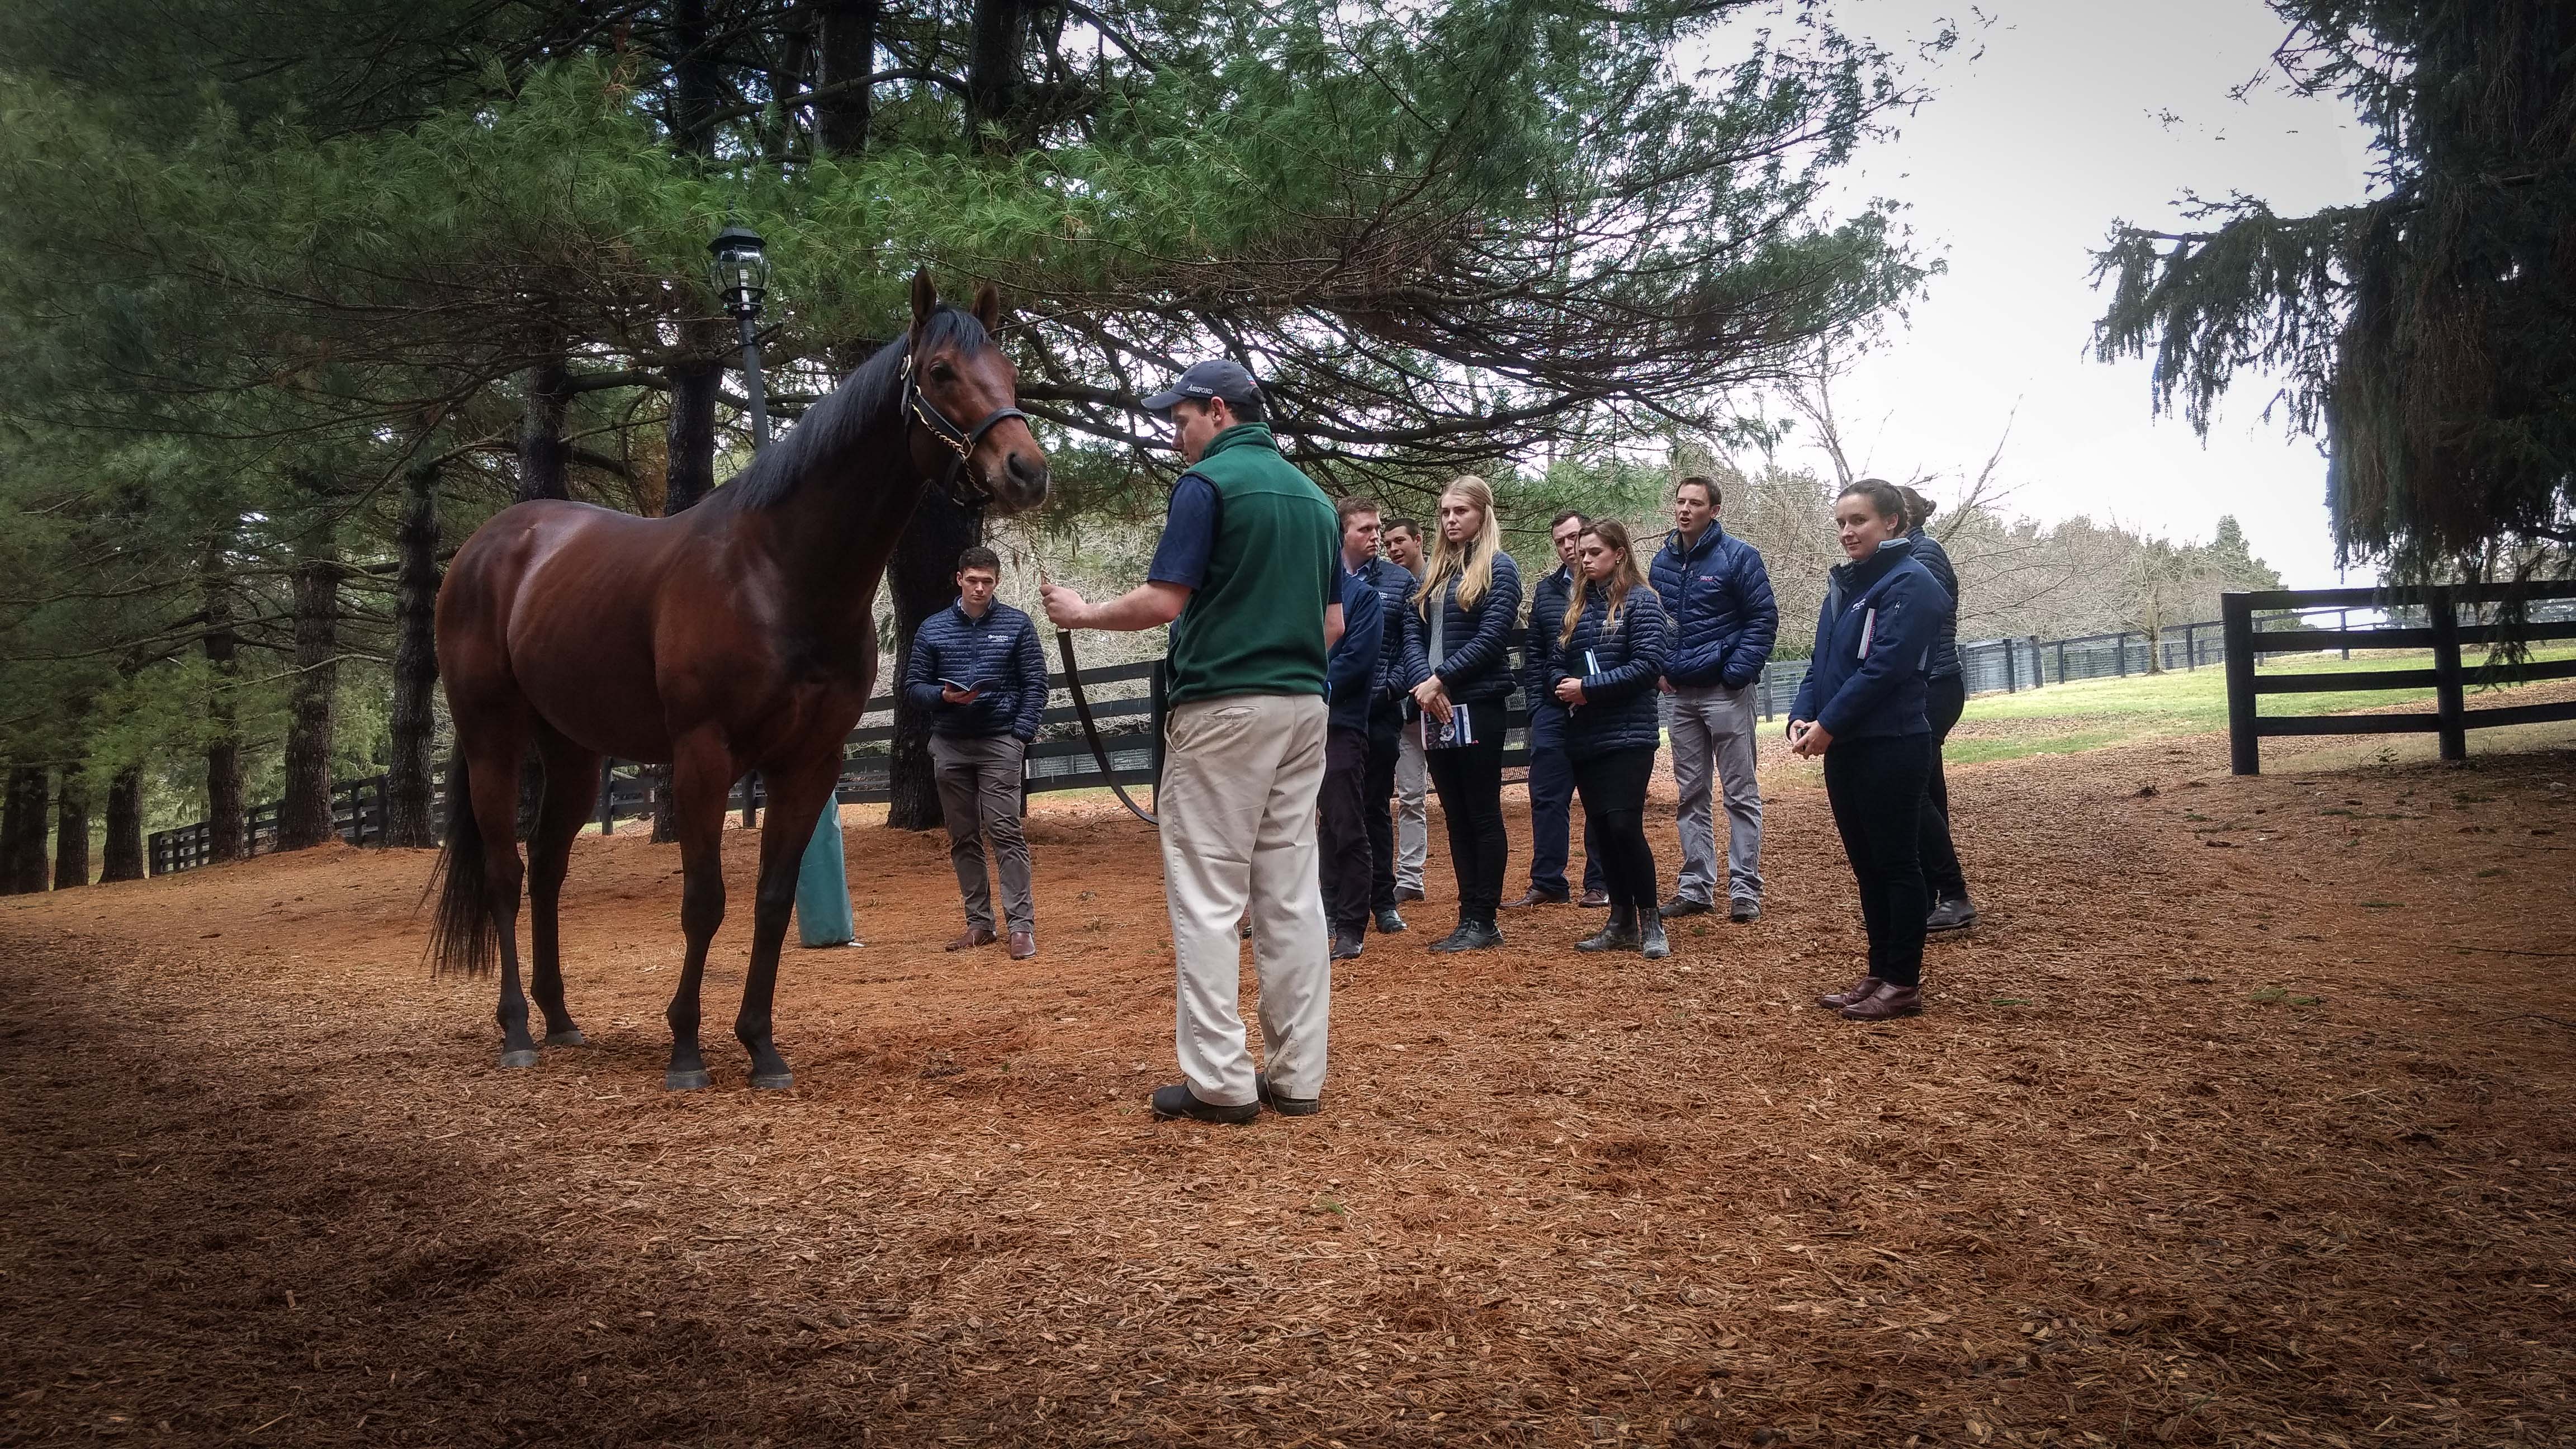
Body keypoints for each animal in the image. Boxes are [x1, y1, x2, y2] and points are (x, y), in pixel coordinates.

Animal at [433, 271, 1045, 1083]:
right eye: (942, 371)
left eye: (1008, 371)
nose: (1027, 471)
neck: (777, 572)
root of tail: (487, 548)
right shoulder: (703, 756)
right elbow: (705, 901)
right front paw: (687, 1048)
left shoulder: (809, 763)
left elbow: (773, 900)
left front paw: (760, 1044)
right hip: (491, 740)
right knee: (506, 872)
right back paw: (516, 1033)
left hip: (573, 754)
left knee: (549, 870)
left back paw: (560, 1019)